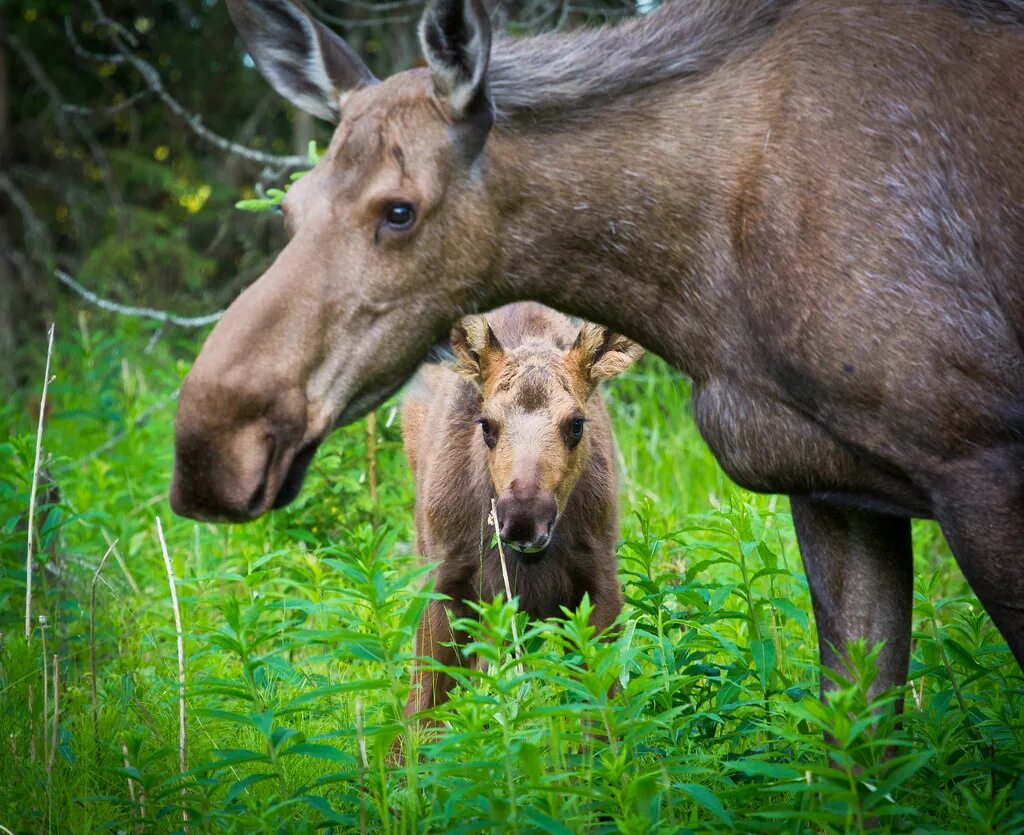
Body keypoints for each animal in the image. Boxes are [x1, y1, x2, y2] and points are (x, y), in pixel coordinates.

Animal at [399, 303, 638, 717]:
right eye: (486, 424)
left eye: (576, 423)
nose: (523, 521)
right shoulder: (442, 582)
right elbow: (422, 709)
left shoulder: (600, 581)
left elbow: (600, 709)